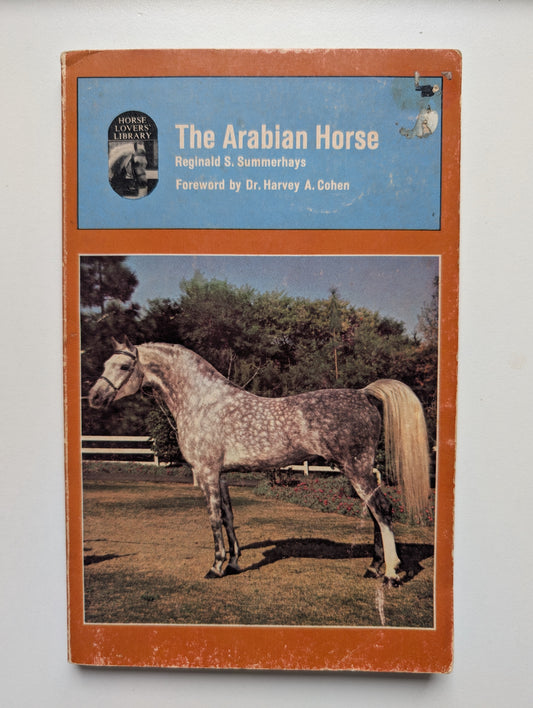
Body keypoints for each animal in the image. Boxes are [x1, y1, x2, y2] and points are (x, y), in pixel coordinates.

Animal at [88, 336, 431, 585]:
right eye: (106, 363)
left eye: (123, 366)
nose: (94, 398)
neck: (202, 402)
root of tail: (362, 394)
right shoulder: (221, 474)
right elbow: (229, 517)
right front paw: (234, 563)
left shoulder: (207, 472)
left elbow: (213, 519)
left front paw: (215, 567)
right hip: (360, 471)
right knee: (375, 512)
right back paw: (373, 568)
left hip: (356, 469)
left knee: (382, 511)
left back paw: (390, 574)